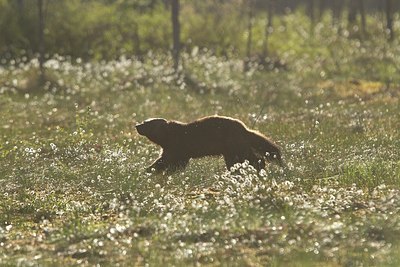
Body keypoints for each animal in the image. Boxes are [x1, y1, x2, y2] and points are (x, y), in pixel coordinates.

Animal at [136, 115, 282, 174]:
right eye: (144, 121)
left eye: (146, 124)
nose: (137, 125)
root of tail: (245, 129)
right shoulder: (179, 152)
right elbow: (177, 163)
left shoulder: (175, 147)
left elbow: (164, 161)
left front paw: (148, 169)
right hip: (232, 150)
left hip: (235, 145)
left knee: (255, 158)